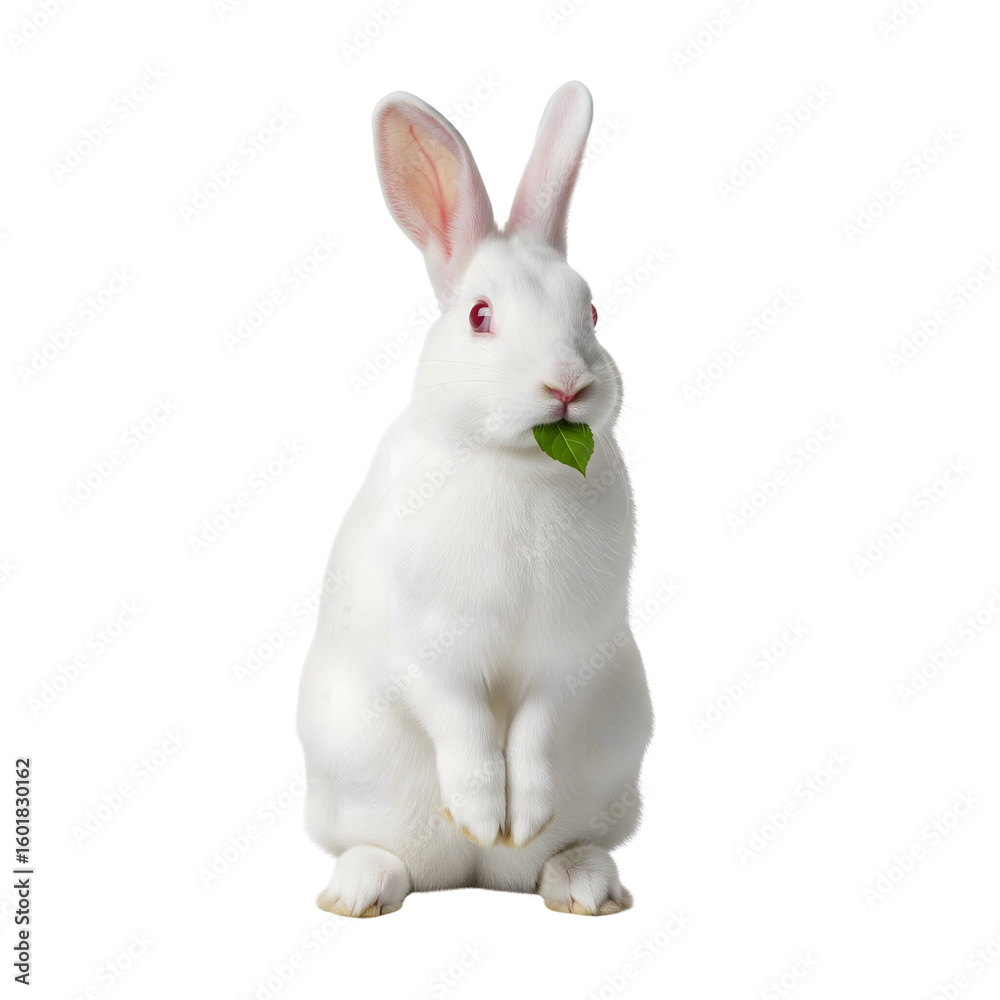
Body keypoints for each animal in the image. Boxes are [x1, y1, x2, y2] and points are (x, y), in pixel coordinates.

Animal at [297, 80, 653, 917]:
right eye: (480, 317)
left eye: (592, 313)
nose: (567, 384)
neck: (517, 463)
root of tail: (471, 879)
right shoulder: (429, 648)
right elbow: (462, 724)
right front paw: (485, 813)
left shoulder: (570, 653)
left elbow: (535, 731)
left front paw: (519, 820)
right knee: (386, 855)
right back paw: (363, 890)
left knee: (568, 851)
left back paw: (578, 884)